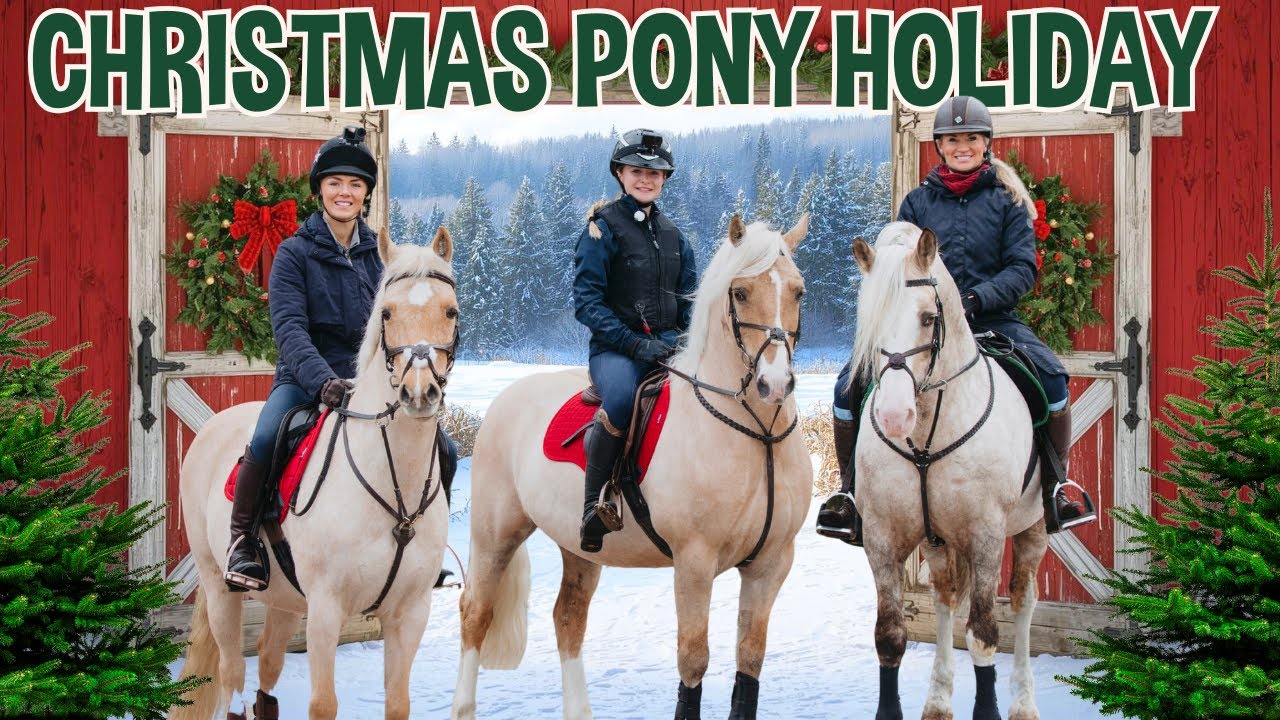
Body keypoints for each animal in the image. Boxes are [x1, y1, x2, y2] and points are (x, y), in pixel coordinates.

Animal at [171, 227, 460, 720]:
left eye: (451, 311)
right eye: (386, 312)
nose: (419, 393)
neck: (392, 485)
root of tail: (213, 425)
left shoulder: (410, 612)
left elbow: (397, 703)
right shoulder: (326, 609)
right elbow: (323, 704)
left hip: (285, 600)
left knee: (267, 663)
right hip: (218, 585)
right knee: (232, 675)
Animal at [450, 214, 812, 720]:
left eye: (798, 292)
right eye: (740, 292)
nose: (774, 384)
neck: (759, 436)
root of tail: (507, 398)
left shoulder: (771, 564)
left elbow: (750, 661)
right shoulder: (694, 562)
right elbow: (693, 661)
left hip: (579, 547)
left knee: (568, 618)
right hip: (494, 536)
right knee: (476, 614)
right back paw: (463, 706)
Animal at [850, 221, 1048, 720]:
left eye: (927, 318)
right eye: (870, 321)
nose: (894, 416)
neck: (927, 434)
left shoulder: (986, 535)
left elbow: (982, 636)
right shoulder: (881, 537)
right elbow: (890, 638)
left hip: (1033, 527)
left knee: (1023, 601)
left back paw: (1024, 703)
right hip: (936, 541)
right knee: (943, 598)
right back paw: (938, 700)